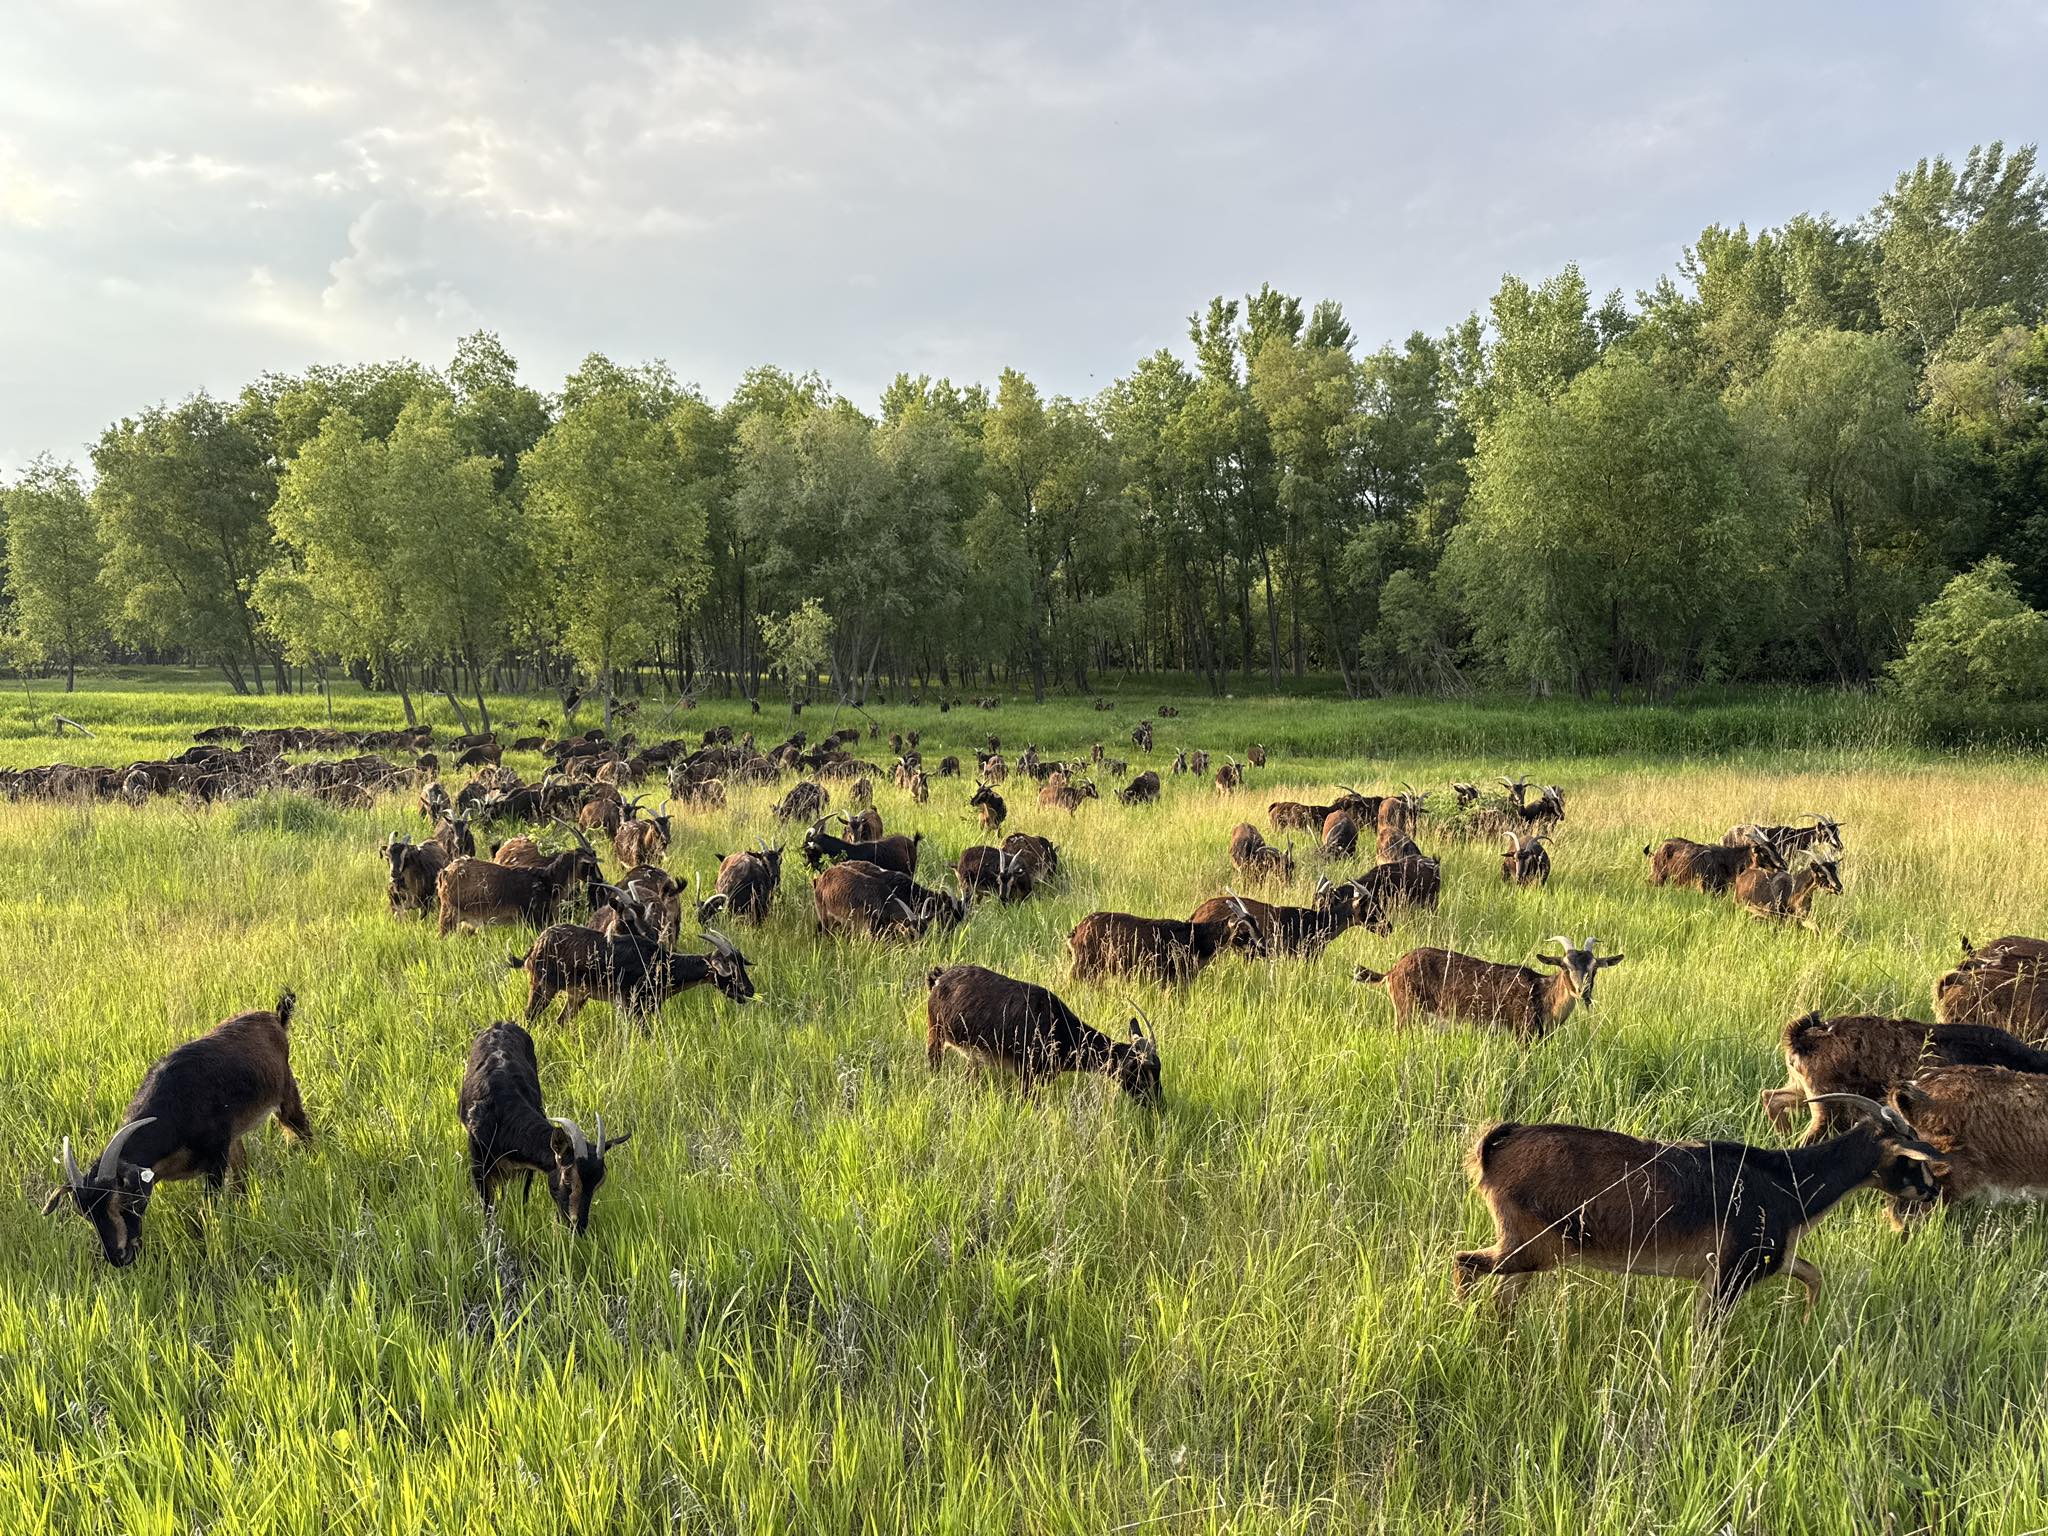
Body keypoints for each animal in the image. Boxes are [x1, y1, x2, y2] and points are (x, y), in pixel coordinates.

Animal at [41, 991, 310, 1267]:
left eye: (126, 1199)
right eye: (84, 1213)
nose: (119, 1257)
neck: (177, 1105)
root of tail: (274, 1019)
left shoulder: (215, 1160)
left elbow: (206, 1212)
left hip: (286, 1096)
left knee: (302, 1131)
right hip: (235, 1135)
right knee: (242, 1172)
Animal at [458, 1020, 626, 1234]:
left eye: (599, 1182)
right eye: (567, 1178)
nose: (578, 1226)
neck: (503, 1118)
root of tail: (502, 1023)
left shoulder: (526, 1170)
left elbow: (523, 1199)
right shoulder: (478, 1165)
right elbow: (488, 1211)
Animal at [925, 965, 1162, 1105]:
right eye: (1141, 1073)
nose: (1159, 1105)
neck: (1059, 1027)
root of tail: (939, 978)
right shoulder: (1026, 1074)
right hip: (935, 1035)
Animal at [1354, 936, 1622, 1041]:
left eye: (1594, 968)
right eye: (1565, 966)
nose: (1582, 991)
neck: (1542, 994)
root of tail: (1392, 971)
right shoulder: (1521, 1033)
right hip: (1406, 1011)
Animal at [1452, 1095, 1943, 1315]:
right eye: (1909, 1157)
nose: (1932, 1191)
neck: (1788, 1183)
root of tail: (1496, 1150)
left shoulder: (1771, 1258)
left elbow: (1813, 1274)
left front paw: (1804, 1322)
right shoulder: (1728, 1276)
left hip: (1534, 1252)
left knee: (1501, 1290)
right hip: (1532, 1246)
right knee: (1466, 1263)